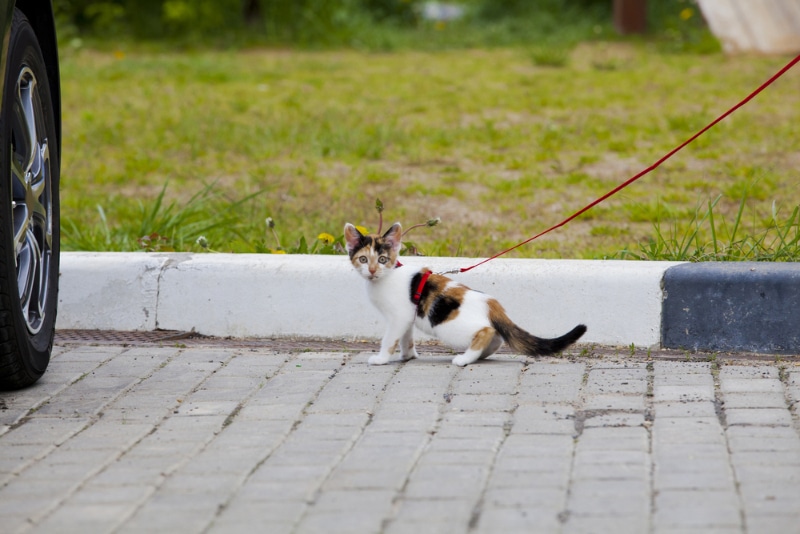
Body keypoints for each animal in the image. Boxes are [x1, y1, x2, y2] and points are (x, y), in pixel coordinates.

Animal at [344, 223, 588, 368]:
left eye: (382, 259)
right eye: (363, 259)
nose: (372, 270)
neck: (385, 278)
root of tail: (492, 304)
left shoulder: (398, 316)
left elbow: (389, 339)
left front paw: (381, 358)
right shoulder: (406, 318)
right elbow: (406, 338)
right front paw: (408, 355)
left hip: (448, 327)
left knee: (486, 331)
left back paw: (464, 358)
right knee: (496, 337)